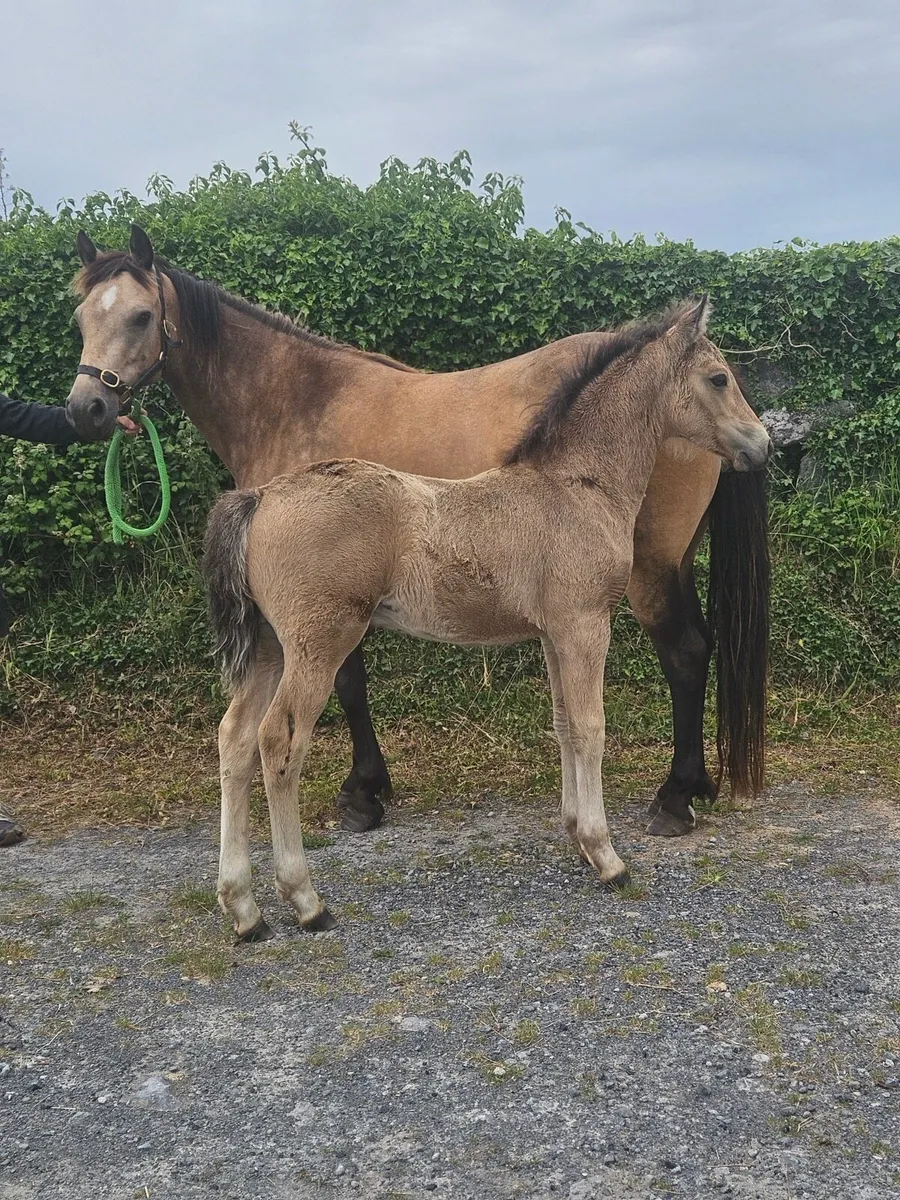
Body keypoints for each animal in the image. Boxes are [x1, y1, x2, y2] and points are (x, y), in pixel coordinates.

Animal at [66, 225, 770, 840]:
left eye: (139, 316)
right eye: (79, 317)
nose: (86, 409)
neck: (296, 398)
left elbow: (349, 685)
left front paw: (362, 793)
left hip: (651, 570)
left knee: (685, 654)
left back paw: (675, 798)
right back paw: (693, 787)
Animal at [201, 298, 772, 938]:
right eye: (719, 378)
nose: (763, 445)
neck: (576, 485)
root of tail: (260, 499)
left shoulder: (554, 632)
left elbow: (564, 724)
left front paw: (577, 838)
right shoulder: (585, 624)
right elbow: (592, 727)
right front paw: (606, 856)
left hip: (271, 648)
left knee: (234, 739)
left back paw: (244, 909)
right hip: (316, 645)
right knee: (278, 743)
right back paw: (305, 899)